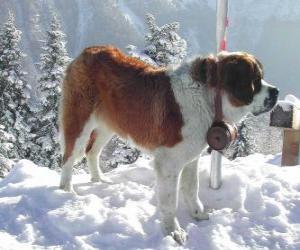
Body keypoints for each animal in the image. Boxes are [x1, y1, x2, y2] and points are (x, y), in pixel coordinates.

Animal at [58, 45, 278, 244]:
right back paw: (67, 191)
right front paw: (173, 232)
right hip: (80, 121)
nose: (276, 91)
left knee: (92, 151)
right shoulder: (168, 163)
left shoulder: (191, 157)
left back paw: (99, 180)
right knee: (68, 156)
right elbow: (170, 200)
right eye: (255, 81)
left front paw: (197, 214)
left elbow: (192, 188)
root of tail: (87, 51)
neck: (208, 96)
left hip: (108, 126)